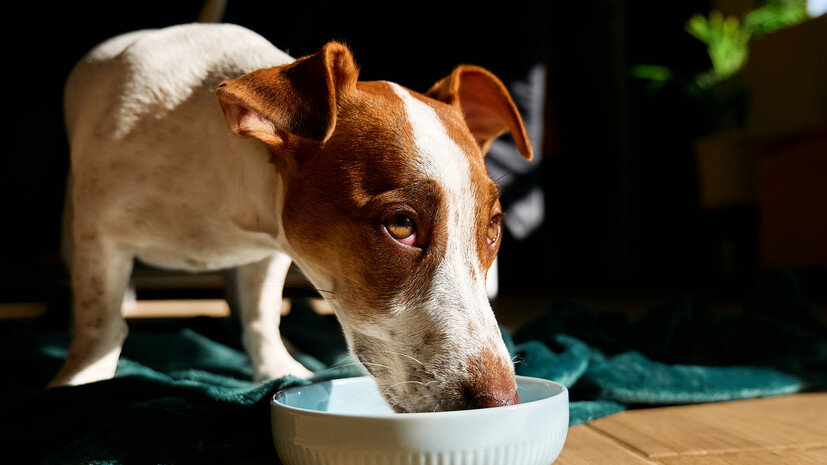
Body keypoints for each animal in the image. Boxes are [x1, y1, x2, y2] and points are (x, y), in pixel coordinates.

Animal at [50, 23, 532, 412]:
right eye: (401, 225)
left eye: (493, 228)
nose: (501, 402)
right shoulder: (100, 239)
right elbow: (101, 325)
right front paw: (80, 382)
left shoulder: (268, 254)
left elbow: (262, 315)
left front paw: (274, 367)